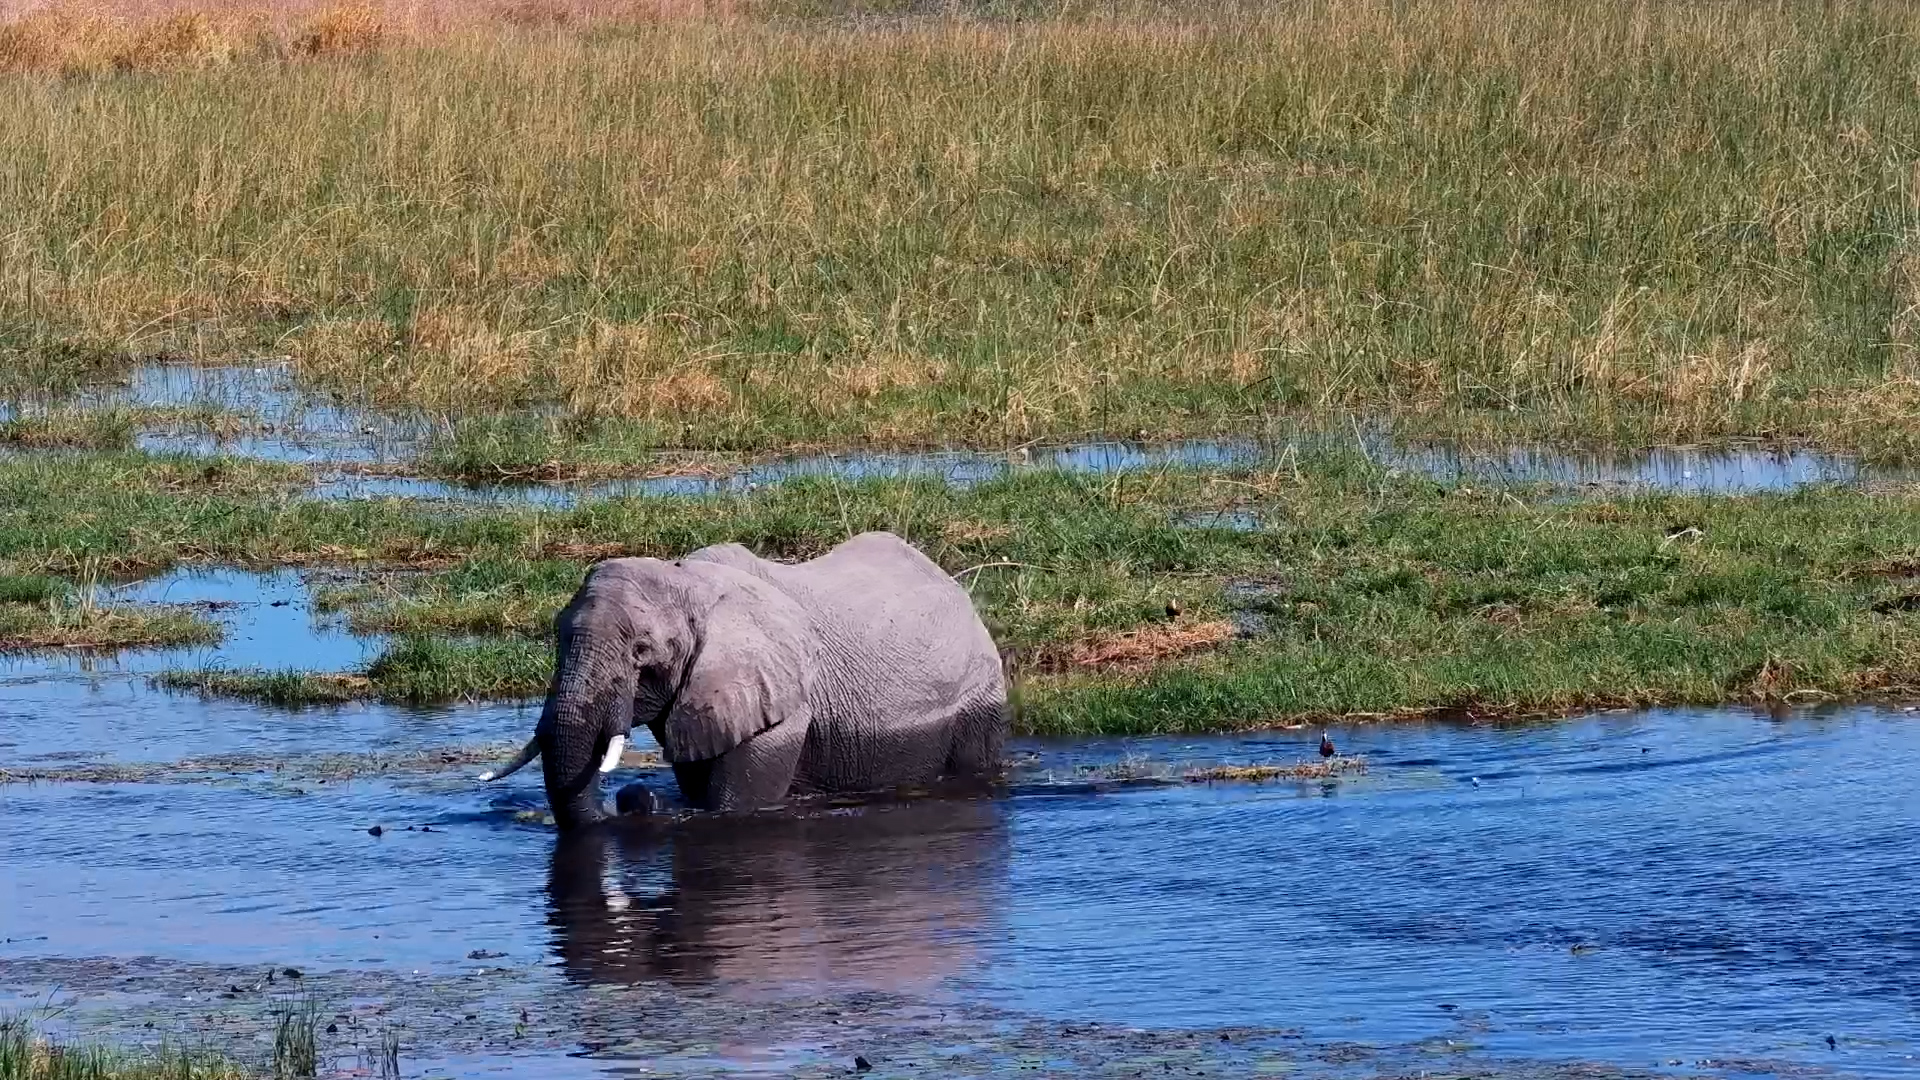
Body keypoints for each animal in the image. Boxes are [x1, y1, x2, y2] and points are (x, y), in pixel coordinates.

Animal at [480, 531, 1009, 828]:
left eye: (641, 652)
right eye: (556, 637)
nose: (630, 798)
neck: (690, 583)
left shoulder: (778, 712)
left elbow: (731, 809)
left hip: (978, 696)